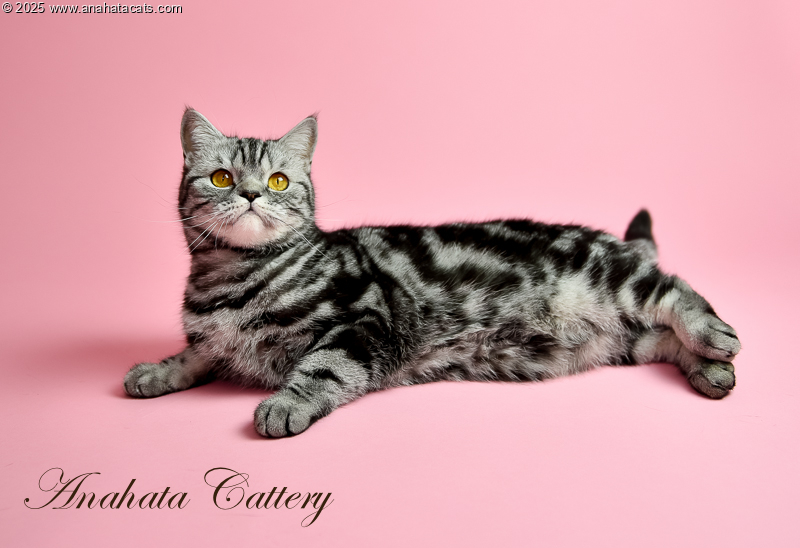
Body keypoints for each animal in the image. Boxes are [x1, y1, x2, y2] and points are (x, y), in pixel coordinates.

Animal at [124, 108, 741, 438]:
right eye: (222, 178)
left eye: (278, 181)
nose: (252, 194)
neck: (230, 279)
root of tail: (614, 241)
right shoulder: (213, 338)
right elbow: (195, 354)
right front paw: (156, 370)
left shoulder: (364, 319)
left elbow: (320, 367)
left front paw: (285, 403)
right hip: (617, 340)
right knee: (660, 339)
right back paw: (710, 371)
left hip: (614, 279)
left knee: (675, 293)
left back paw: (715, 338)